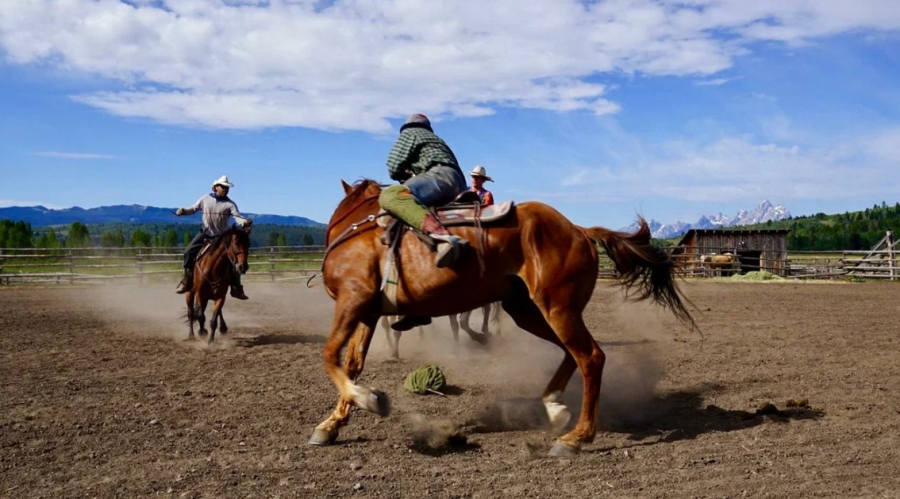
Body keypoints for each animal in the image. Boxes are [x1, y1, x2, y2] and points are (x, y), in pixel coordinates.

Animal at [306, 180, 692, 458]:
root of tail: (579, 229)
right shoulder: (369, 312)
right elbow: (351, 363)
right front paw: (331, 425)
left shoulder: (352, 300)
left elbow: (329, 356)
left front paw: (370, 399)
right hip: (528, 311)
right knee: (573, 353)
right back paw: (554, 406)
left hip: (557, 308)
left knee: (591, 357)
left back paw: (575, 438)